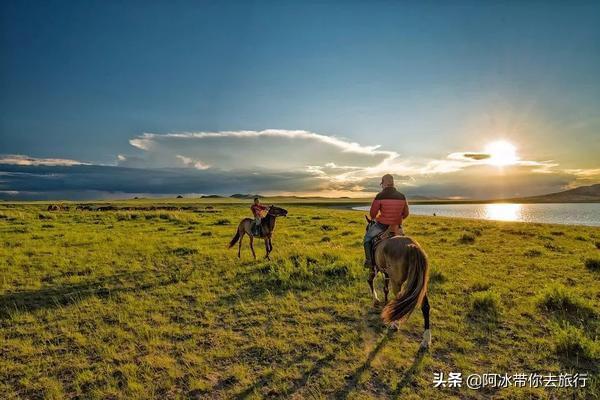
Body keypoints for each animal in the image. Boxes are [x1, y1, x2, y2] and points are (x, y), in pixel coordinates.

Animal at [366, 217, 432, 348]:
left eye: (367, 228)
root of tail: (412, 246)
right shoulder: (386, 273)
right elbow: (385, 289)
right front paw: (385, 302)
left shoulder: (375, 268)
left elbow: (370, 281)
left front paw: (376, 300)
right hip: (421, 285)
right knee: (425, 306)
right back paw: (426, 339)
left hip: (397, 283)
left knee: (399, 300)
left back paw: (395, 324)